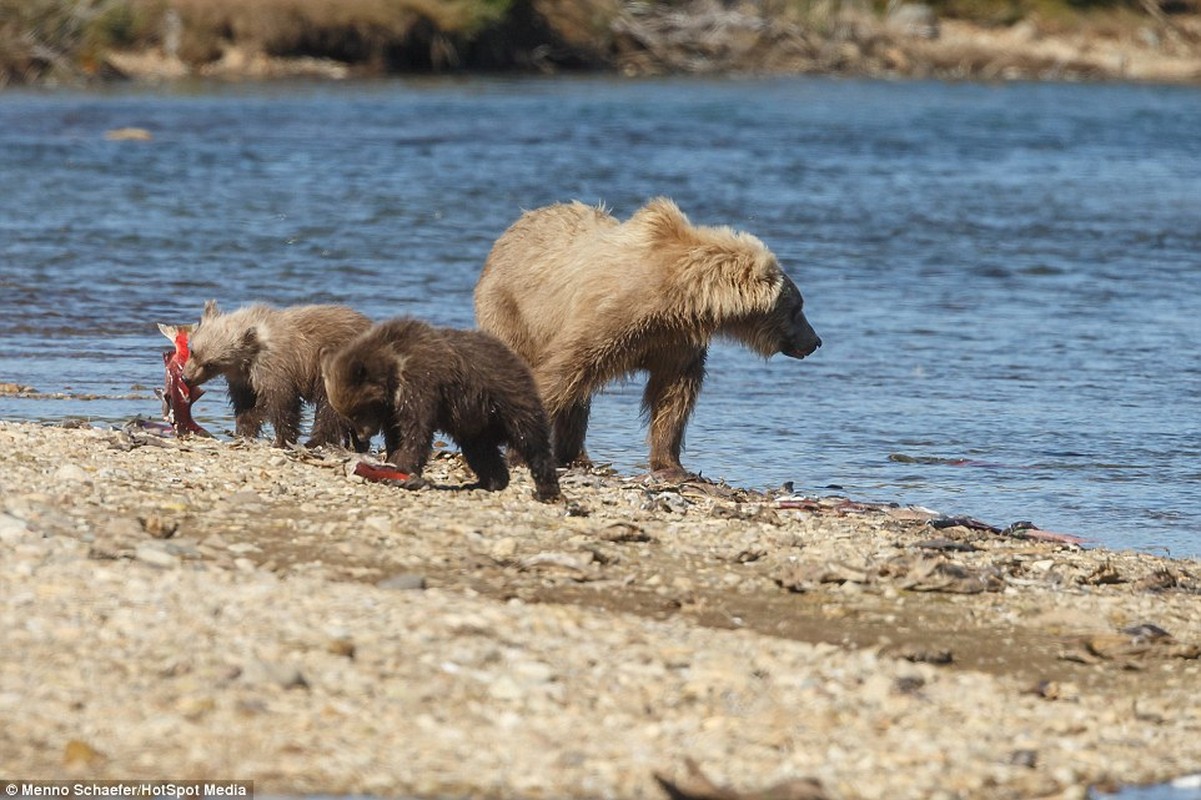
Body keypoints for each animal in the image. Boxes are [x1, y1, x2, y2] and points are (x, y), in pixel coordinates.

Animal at [180, 300, 369, 449]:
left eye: (210, 364)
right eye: (193, 351)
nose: (185, 378)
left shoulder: (277, 368)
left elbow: (282, 403)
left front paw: (282, 440)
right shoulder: (244, 379)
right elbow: (245, 404)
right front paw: (243, 432)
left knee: (330, 410)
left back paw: (316, 442)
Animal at [319, 317, 562, 499]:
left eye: (357, 412)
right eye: (349, 414)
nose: (363, 435)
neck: (393, 370)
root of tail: (515, 357)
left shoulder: (422, 381)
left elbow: (416, 428)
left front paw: (402, 470)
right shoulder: (392, 407)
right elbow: (397, 431)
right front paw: (392, 462)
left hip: (508, 398)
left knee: (531, 439)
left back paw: (546, 490)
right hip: (475, 423)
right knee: (481, 451)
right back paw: (487, 482)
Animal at [473, 195, 821, 475]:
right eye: (797, 307)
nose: (815, 341)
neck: (681, 297)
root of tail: (515, 225)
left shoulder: (675, 342)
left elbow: (673, 396)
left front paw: (671, 464)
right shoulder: (611, 319)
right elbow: (562, 372)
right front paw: (519, 450)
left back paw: (577, 457)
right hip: (510, 307)